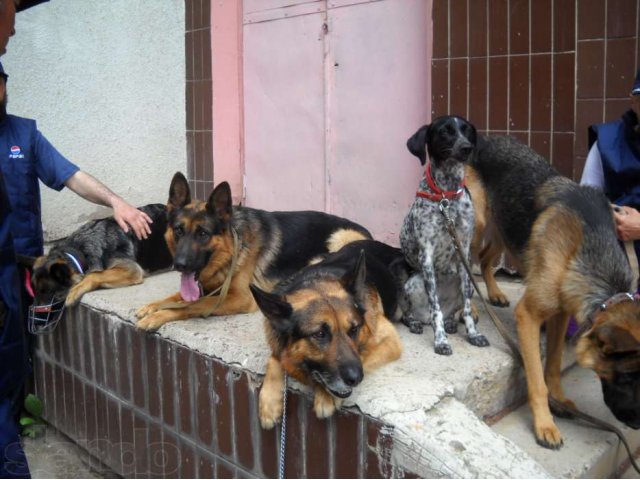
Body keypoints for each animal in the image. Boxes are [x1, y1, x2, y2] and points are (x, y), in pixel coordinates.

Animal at [22, 202, 174, 308]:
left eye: (47, 292)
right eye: (34, 291)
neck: (80, 249)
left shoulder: (131, 269)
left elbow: (94, 275)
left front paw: (76, 289)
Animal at [137, 174, 372, 332]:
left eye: (203, 234)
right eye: (178, 230)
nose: (180, 264)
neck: (232, 247)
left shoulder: (239, 298)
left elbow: (192, 304)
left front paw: (159, 315)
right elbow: (177, 296)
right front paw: (151, 306)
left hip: (338, 238)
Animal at [249, 238, 402, 426]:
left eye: (354, 329)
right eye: (320, 334)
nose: (356, 378)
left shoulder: (390, 339)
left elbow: (363, 354)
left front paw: (325, 396)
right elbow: (275, 358)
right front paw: (269, 402)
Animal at [400, 115, 490, 356]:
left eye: (467, 131)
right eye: (444, 132)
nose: (467, 147)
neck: (446, 196)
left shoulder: (464, 252)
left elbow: (467, 309)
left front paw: (473, 334)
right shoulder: (427, 255)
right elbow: (436, 309)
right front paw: (440, 340)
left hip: (467, 283)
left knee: (454, 310)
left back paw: (451, 323)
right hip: (413, 282)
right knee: (411, 314)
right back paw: (417, 323)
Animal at [470, 136, 640, 450]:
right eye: (625, 379)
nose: (635, 425)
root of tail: (483, 138)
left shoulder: (560, 314)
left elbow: (553, 363)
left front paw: (558, 400)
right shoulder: (528, 316)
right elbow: (536, 379)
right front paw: (545, 425)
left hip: (505, 233)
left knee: (486, 259)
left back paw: (495, 293)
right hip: (474, 223)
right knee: (461, 261)